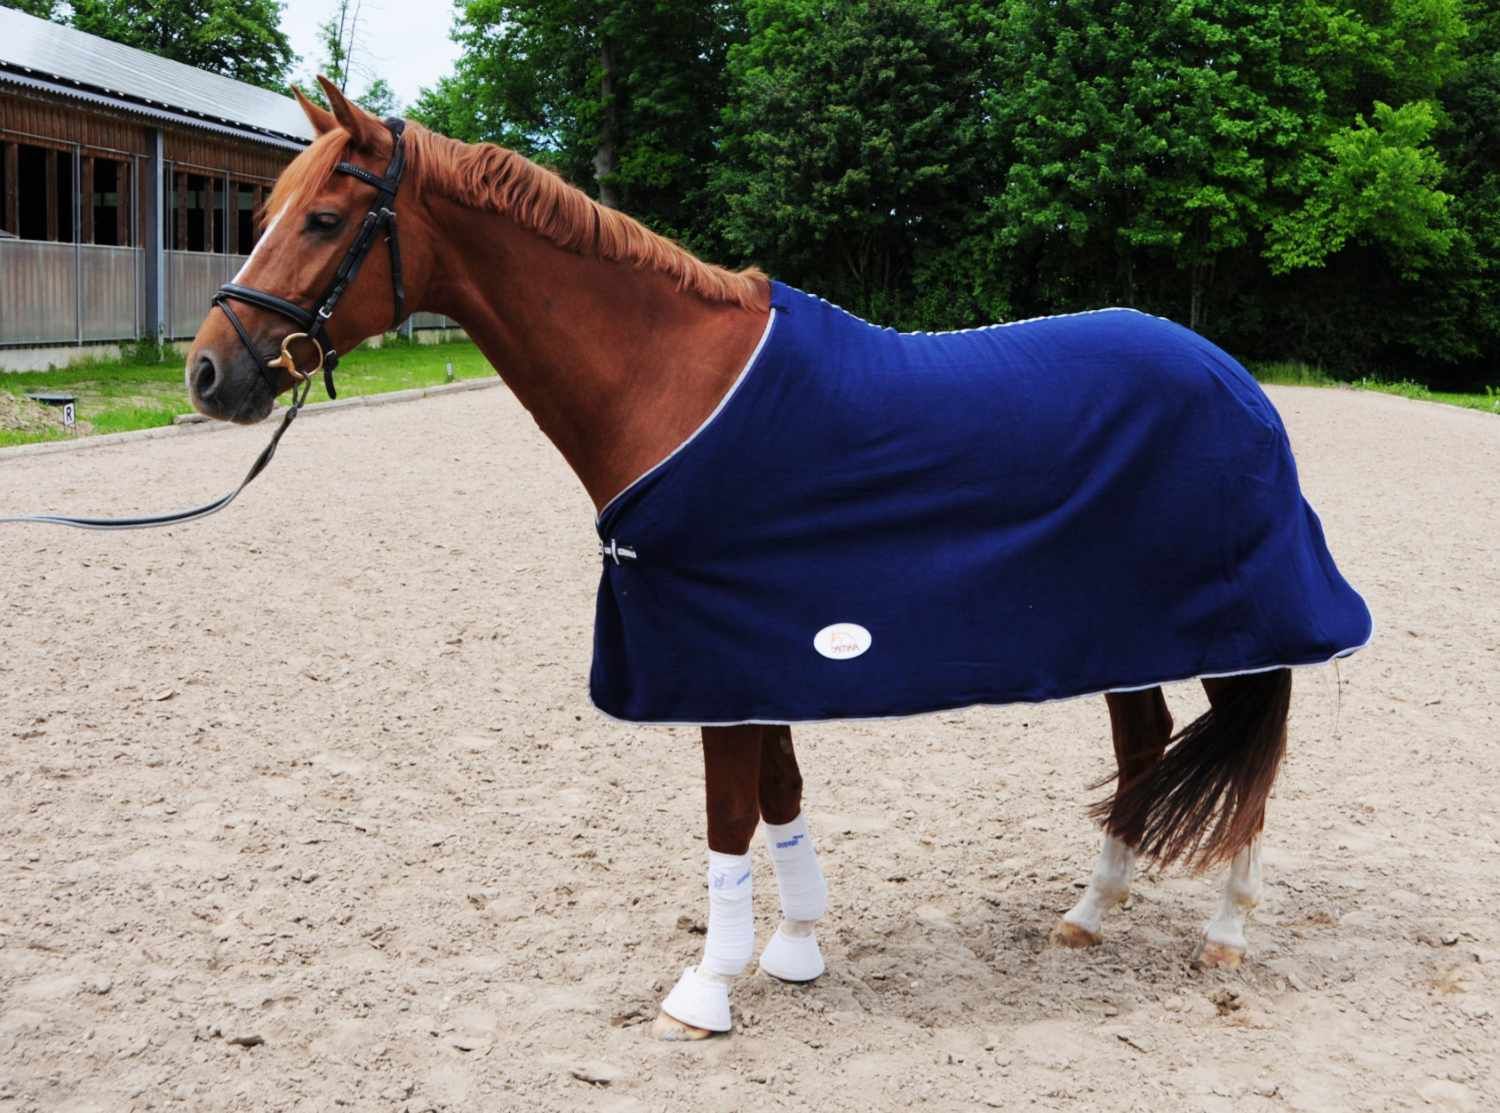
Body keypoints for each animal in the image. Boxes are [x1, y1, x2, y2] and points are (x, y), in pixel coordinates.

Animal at [185, 78, 1371, 1041]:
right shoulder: (759, 650)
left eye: (325, 218)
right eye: (260, 213)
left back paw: (1227, 932)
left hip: (1236, 629)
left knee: (1251, 762)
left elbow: (728, 815)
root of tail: (1235, 380)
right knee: (1145, 745)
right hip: (1122, 632)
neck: (672, 383)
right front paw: (797, 948)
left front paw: (706, 988)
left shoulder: (714, 653)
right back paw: (1089, 912)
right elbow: (781, 792)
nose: (207, 373)